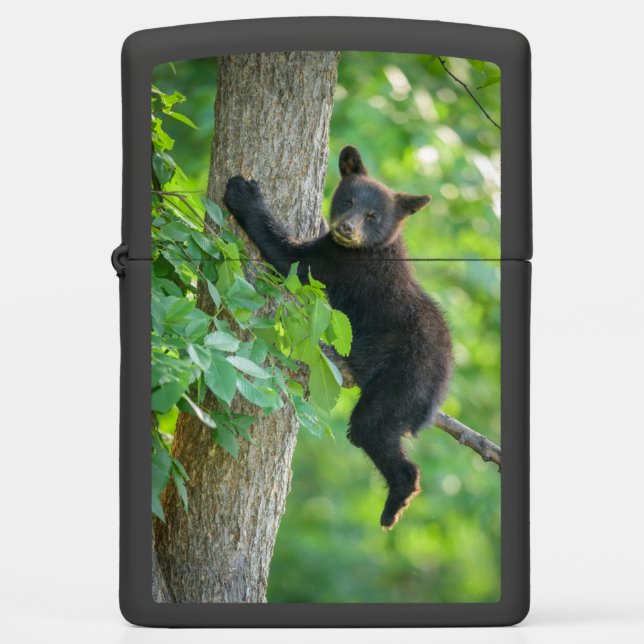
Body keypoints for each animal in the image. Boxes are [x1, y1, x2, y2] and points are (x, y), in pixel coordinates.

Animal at [223, 145, 453, 529]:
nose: (346, 228)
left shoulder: (338, 263)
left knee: (371, 427)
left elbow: (291, 260)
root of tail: (441, 385)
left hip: (403, 379)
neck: (370, 248)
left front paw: (244, 194)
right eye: (348, 200)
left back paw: (395, 502)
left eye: (373, 216)